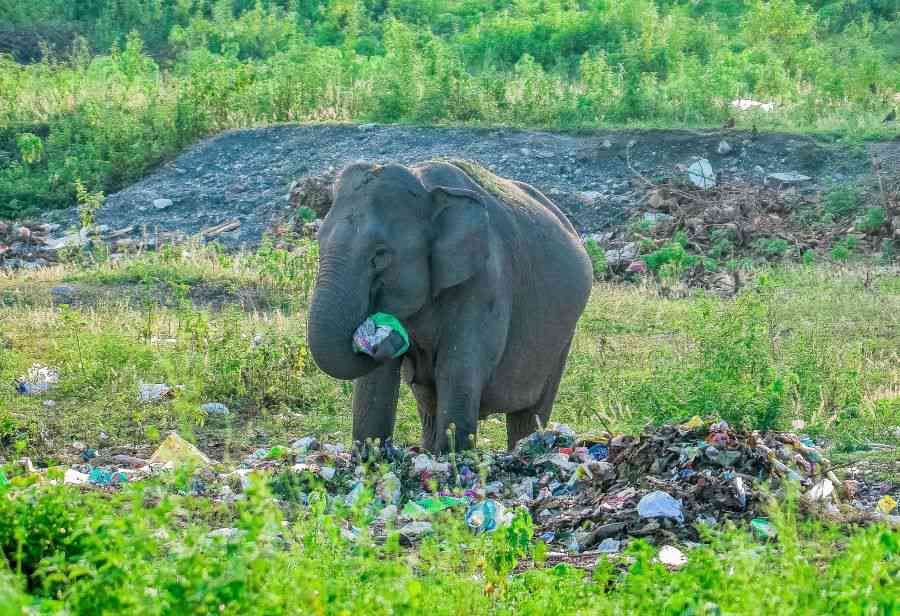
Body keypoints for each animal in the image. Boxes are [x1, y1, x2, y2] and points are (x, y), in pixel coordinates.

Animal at [306, 160, 596, 452]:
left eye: (380, 255)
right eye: (318, 242)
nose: (389, 336)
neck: (426, 189)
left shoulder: (485, 281)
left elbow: (458, 368)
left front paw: (451, 457)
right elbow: (375, 381)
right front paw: (371, 455)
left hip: (562, 339)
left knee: (530, 414)